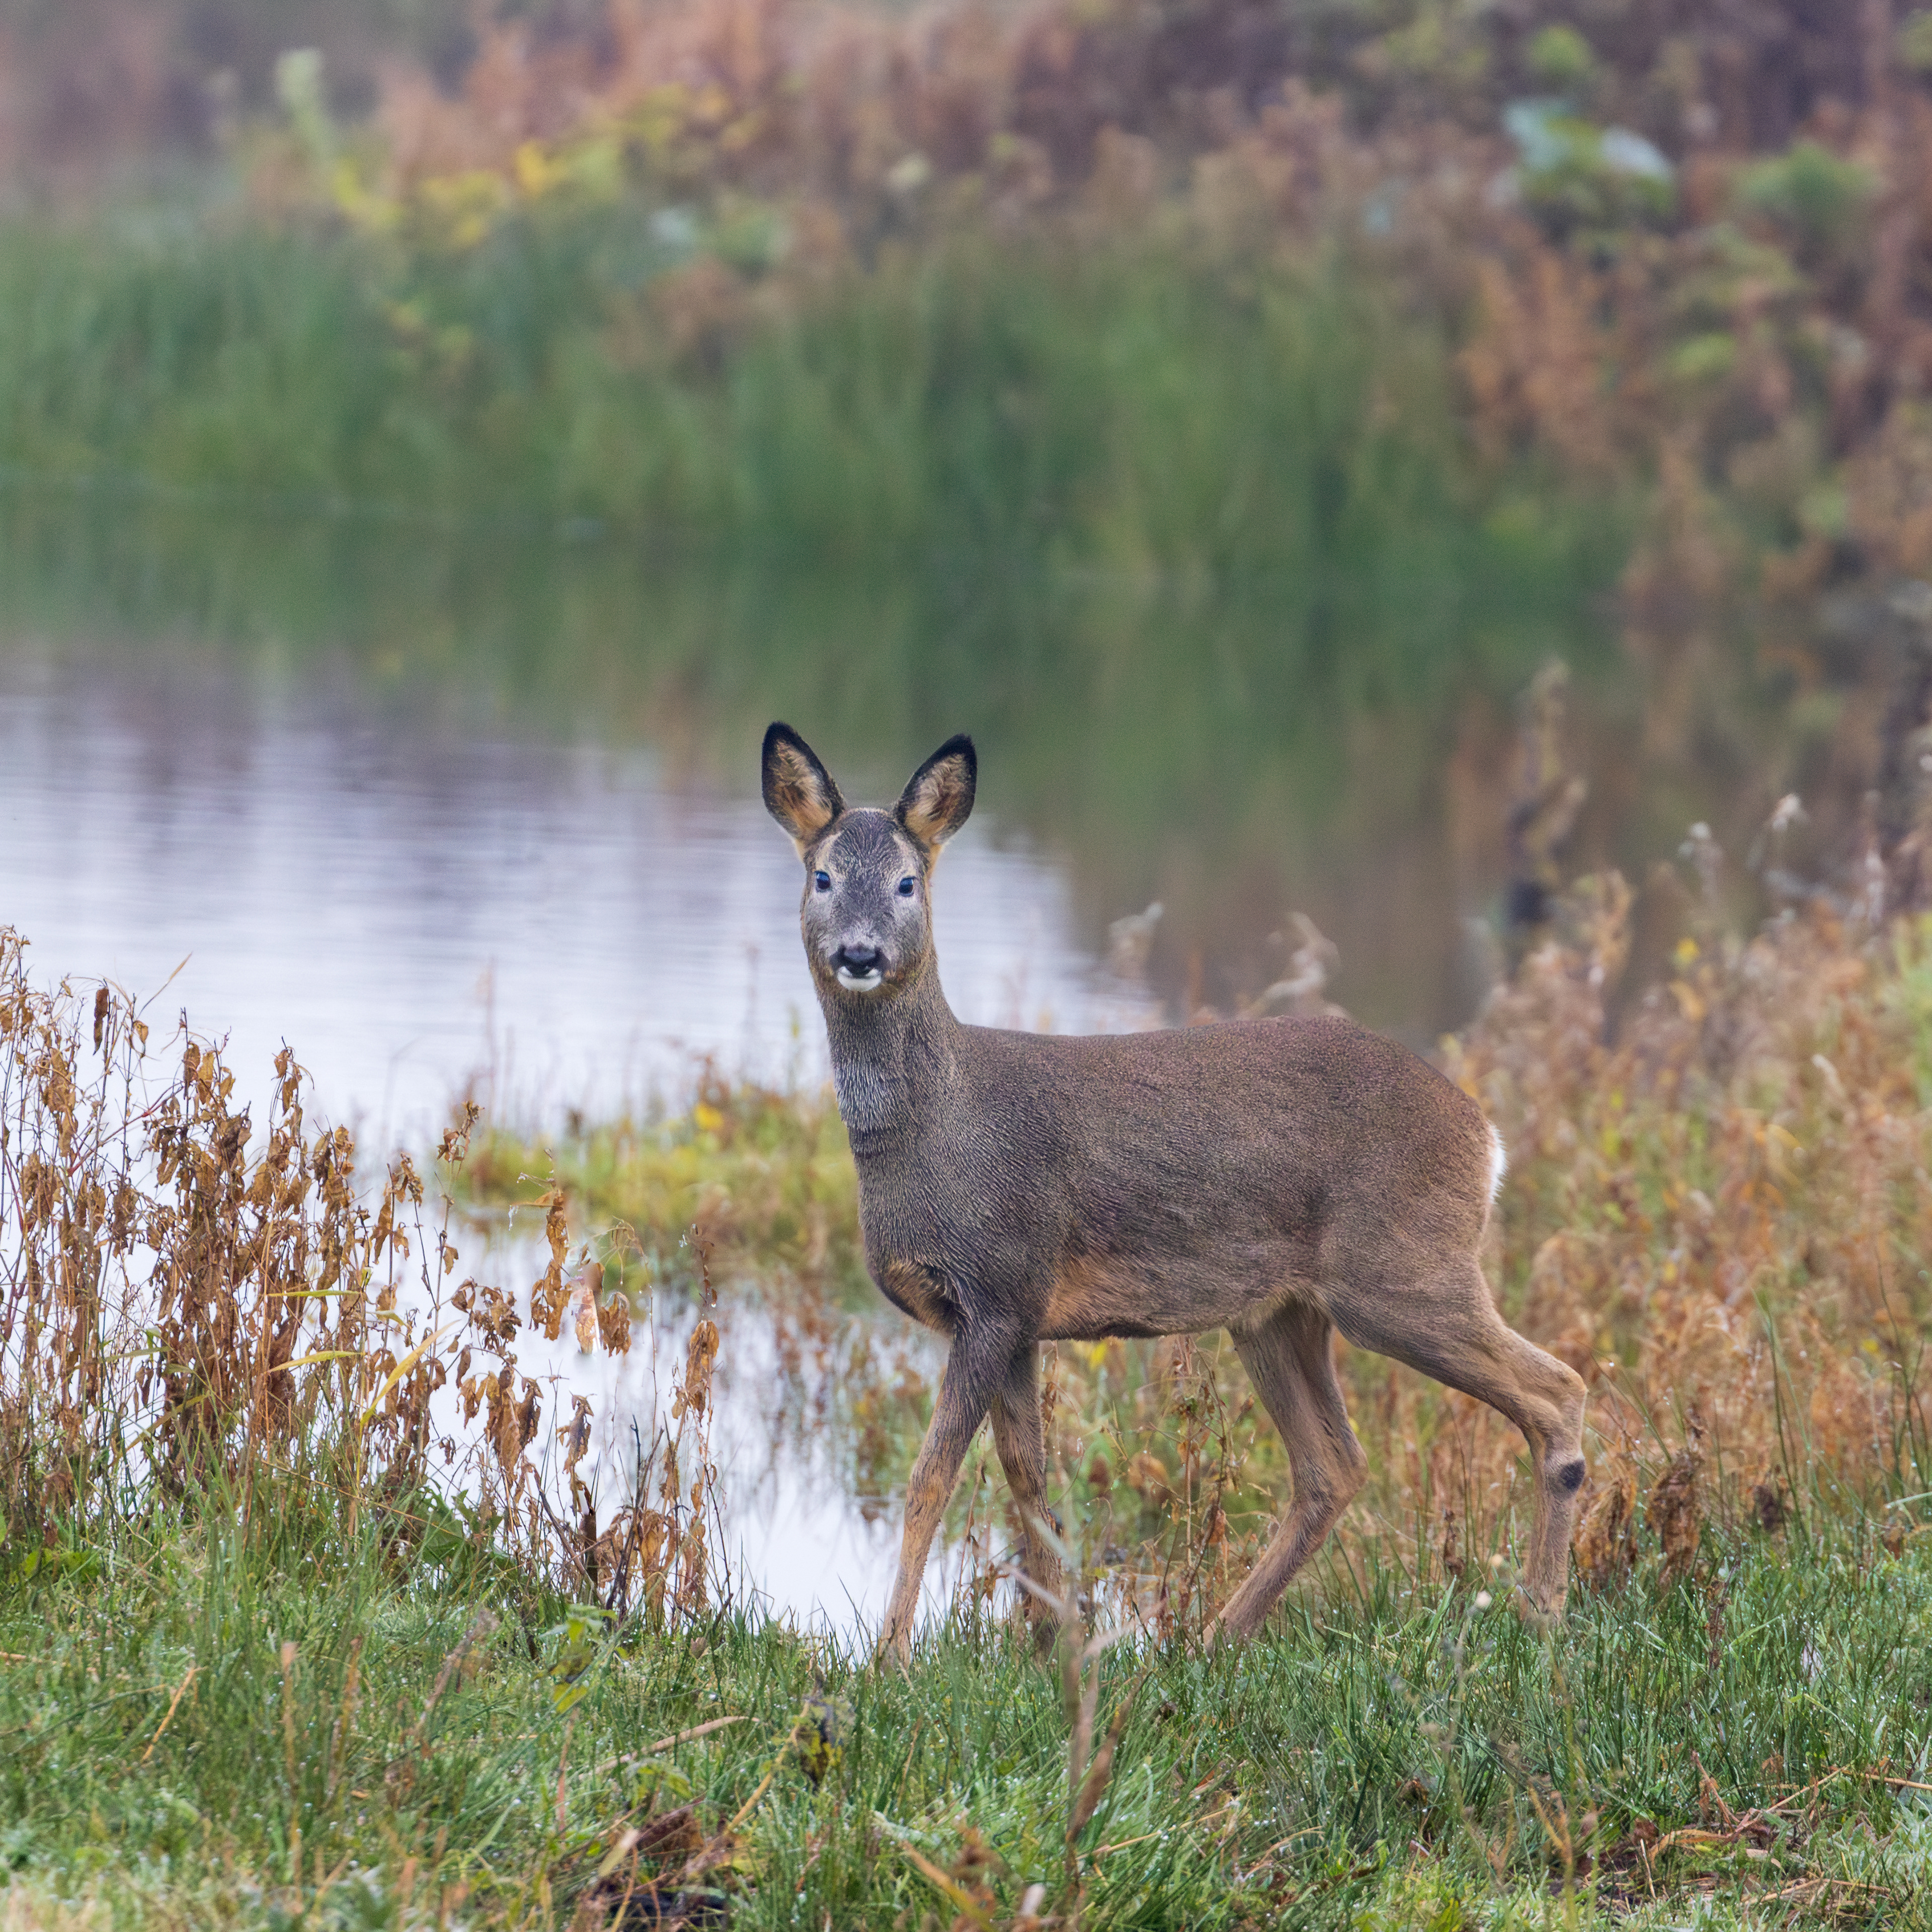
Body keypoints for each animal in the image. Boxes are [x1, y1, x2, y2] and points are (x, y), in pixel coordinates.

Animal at [761, 721, 1588, 1662]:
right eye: (822, 877)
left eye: (907, 881)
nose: (860, 954)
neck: (937, 1129)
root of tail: (1486, 1137)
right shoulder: (1017, 1317)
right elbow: (1029, 1481)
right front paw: (1053, 1646)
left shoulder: (998, 1287)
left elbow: (932, 1481)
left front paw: (891, 1660)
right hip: (1278, 1314)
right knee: (1334, 1467)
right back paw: (1214, 1638)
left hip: (1401, 1273)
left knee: (1558, 1392)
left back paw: (1542, 1612)